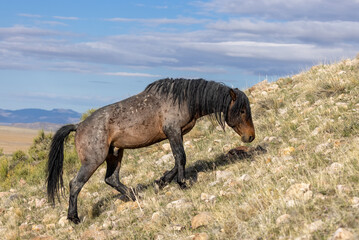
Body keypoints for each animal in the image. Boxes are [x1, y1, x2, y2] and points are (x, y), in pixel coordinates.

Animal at [47, 78, 256, 224]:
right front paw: (182, 183)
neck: (184, 99)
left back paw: (134, 196)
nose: (250, 137)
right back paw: (73, 218)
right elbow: (181, 157)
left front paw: (162, 181)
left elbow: (177, 160)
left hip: (114, 154)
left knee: (111, 179)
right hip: (93, 161)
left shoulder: (176, 133)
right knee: (76, 184)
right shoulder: (173, 131)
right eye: (242, 110)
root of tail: (79, 126)